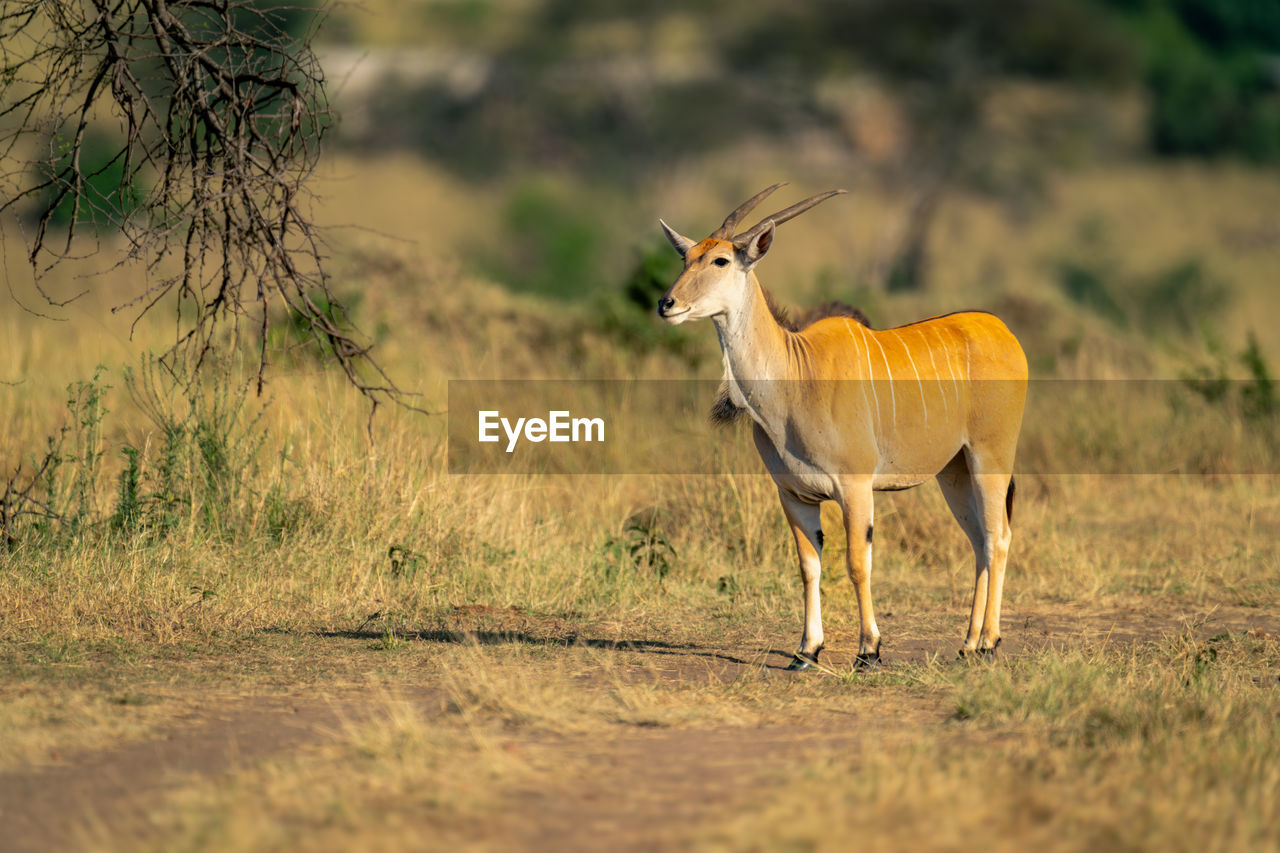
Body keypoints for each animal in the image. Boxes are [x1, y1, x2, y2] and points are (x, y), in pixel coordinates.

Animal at [660, 183, 1029, 666]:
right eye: (686, 257)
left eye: (720, 260)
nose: (667, 304)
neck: (796, 374)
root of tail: (1004, 332)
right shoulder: (794, 495)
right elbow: (808, 566)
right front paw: (806, 650)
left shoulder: (855, 489)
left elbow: (857, 563)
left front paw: (868, 649)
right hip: (955, 473)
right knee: (980, 540)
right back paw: (968, 643)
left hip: (990, 458)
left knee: (999, 536)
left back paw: (988, 641)